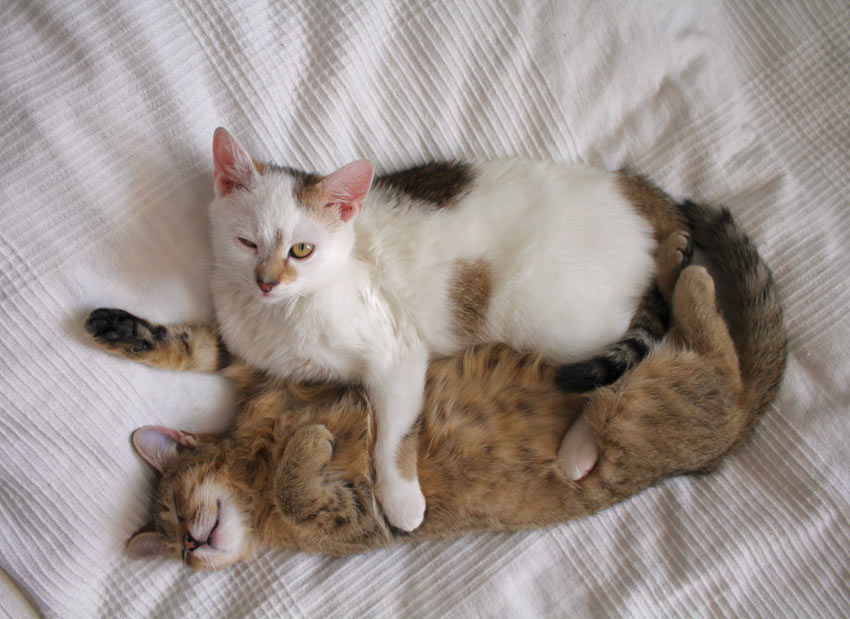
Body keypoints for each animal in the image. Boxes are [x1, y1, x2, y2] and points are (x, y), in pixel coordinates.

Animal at [86, 201, 780, 568]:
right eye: (175, 549)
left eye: (178, 510)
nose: (193, 541)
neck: (252, 459)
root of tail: (744, 422)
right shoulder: (351, 518)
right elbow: (296, 482)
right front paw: (307, 446)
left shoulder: (276, 376)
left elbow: (194, 349)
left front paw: (113, 326)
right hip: (652, 402)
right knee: (708, 342)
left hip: (638, 401)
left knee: (707, 330)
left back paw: (681, 256)